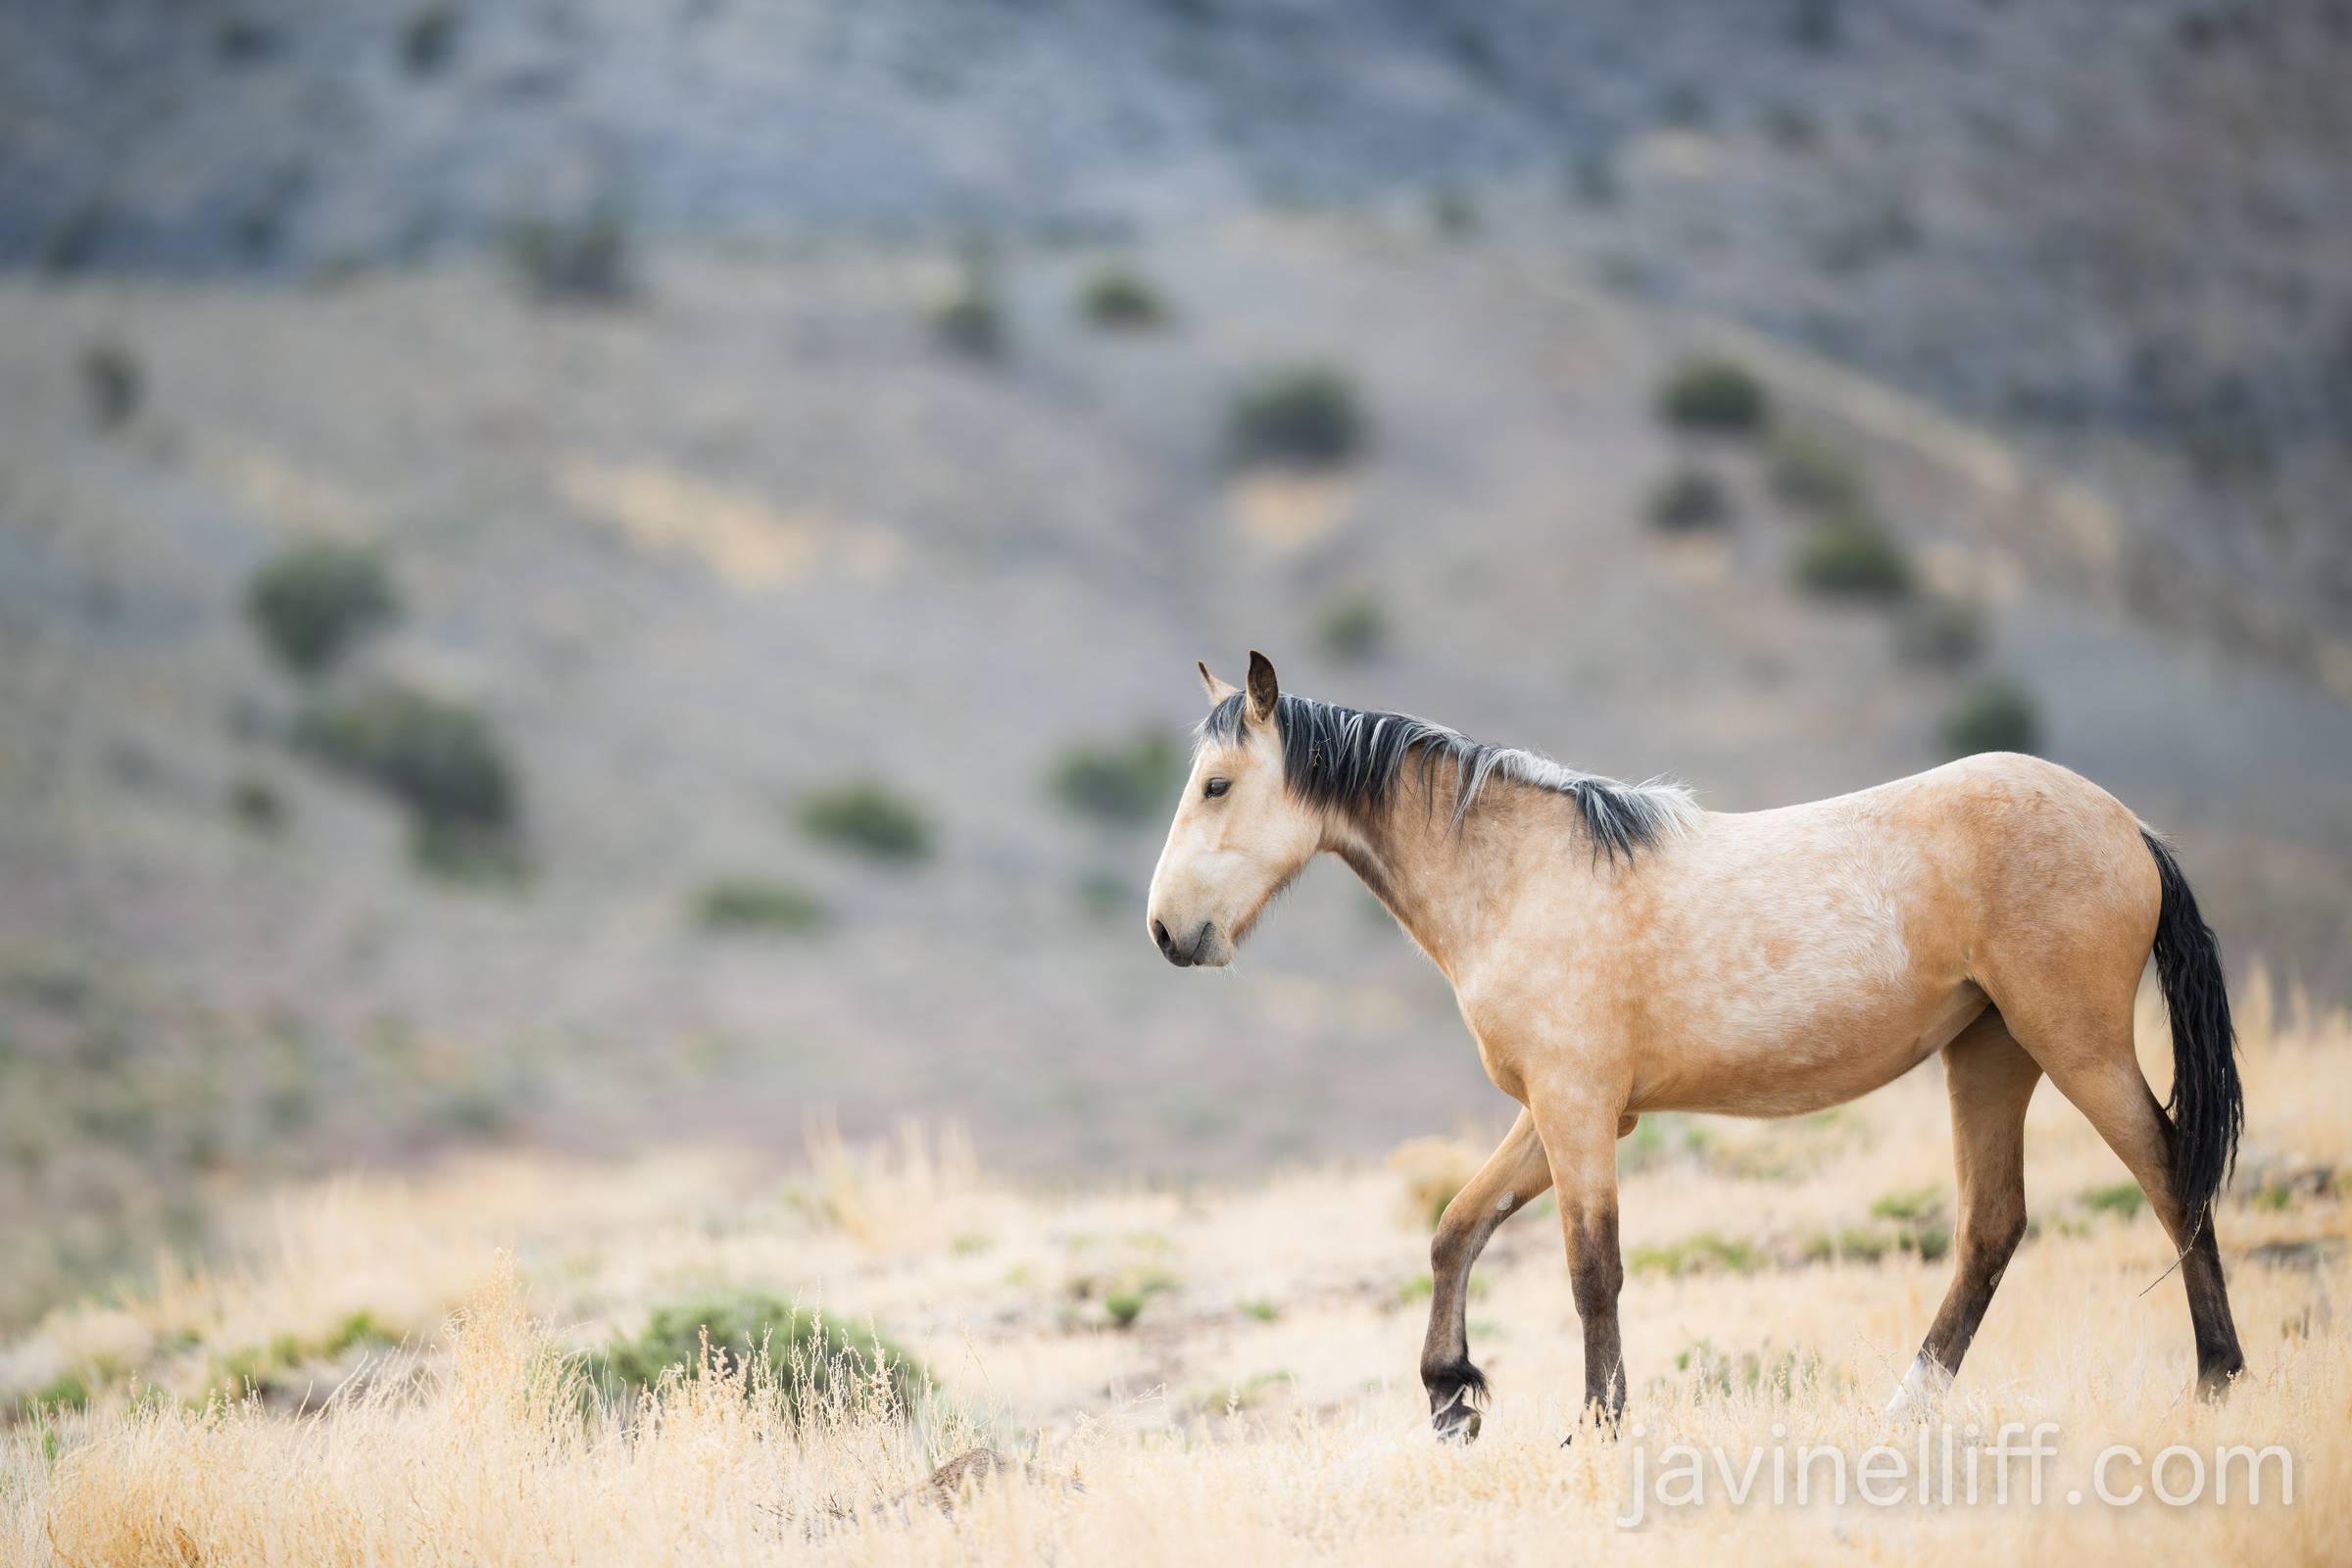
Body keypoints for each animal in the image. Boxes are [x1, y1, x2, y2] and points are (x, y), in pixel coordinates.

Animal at [1146, 652, 2246, 1439]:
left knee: (2170, 1178)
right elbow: (1457, 1227)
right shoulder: (1563, 1110)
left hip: (2077, 1045)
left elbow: (1590, 1269)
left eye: (1217, 785)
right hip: (1991, 1055)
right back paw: (1908, 1407)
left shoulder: (1579, 1108)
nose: (1167, 931)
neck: (1519, 878)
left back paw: (2218, 1378)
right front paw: (1453, 1395)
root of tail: (2130, 827)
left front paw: (1596, 1424)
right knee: (1993, 1229)